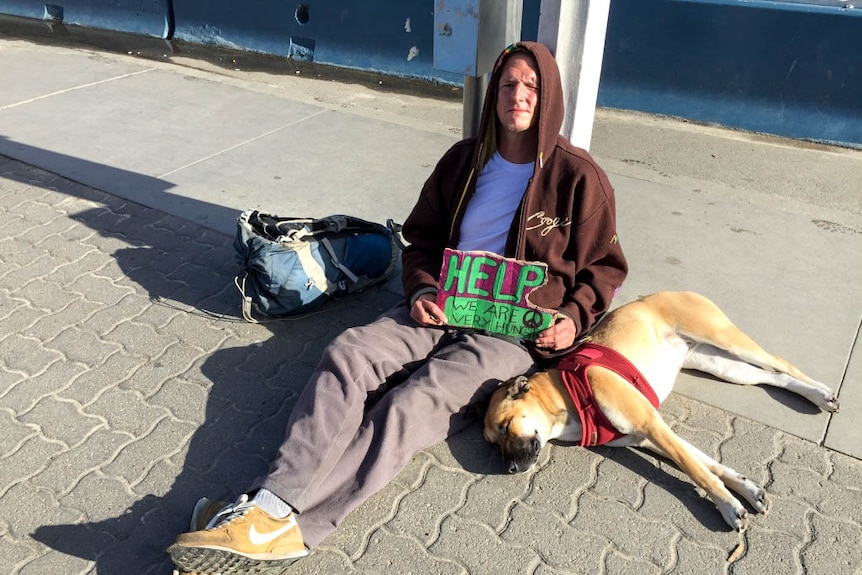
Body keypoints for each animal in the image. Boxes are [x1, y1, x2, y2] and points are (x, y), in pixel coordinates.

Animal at [490, 294, 840, 532]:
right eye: (493, 443)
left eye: (506, 427)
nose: (509, 468)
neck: (568, 394)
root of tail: (657, 294)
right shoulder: (646, 437)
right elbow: (706, 463)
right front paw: (746, 490)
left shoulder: (651, 424)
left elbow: (695, 468)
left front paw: (727, 505)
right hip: (722, 366)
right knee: (772, 377)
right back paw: (815, 395)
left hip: (725, 340)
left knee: (780, 362)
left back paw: (823, 393)